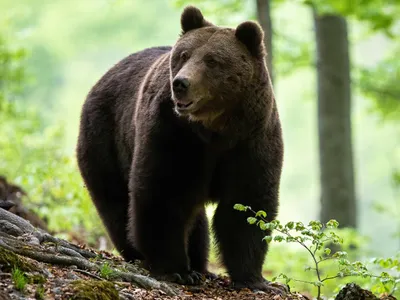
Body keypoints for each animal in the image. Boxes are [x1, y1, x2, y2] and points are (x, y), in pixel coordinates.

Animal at [76, 5, 284, 292]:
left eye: (212, 60)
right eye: (184, 55)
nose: (181, 83)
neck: (216, 128)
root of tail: (103, 77)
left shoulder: (252, 139)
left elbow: (247, 203)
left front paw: (254, 279)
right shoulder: (173, 134)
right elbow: (164, 192)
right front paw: (174, 269)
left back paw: (199, 265)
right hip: (104, 136)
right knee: (115, 201)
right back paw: (142, 255)